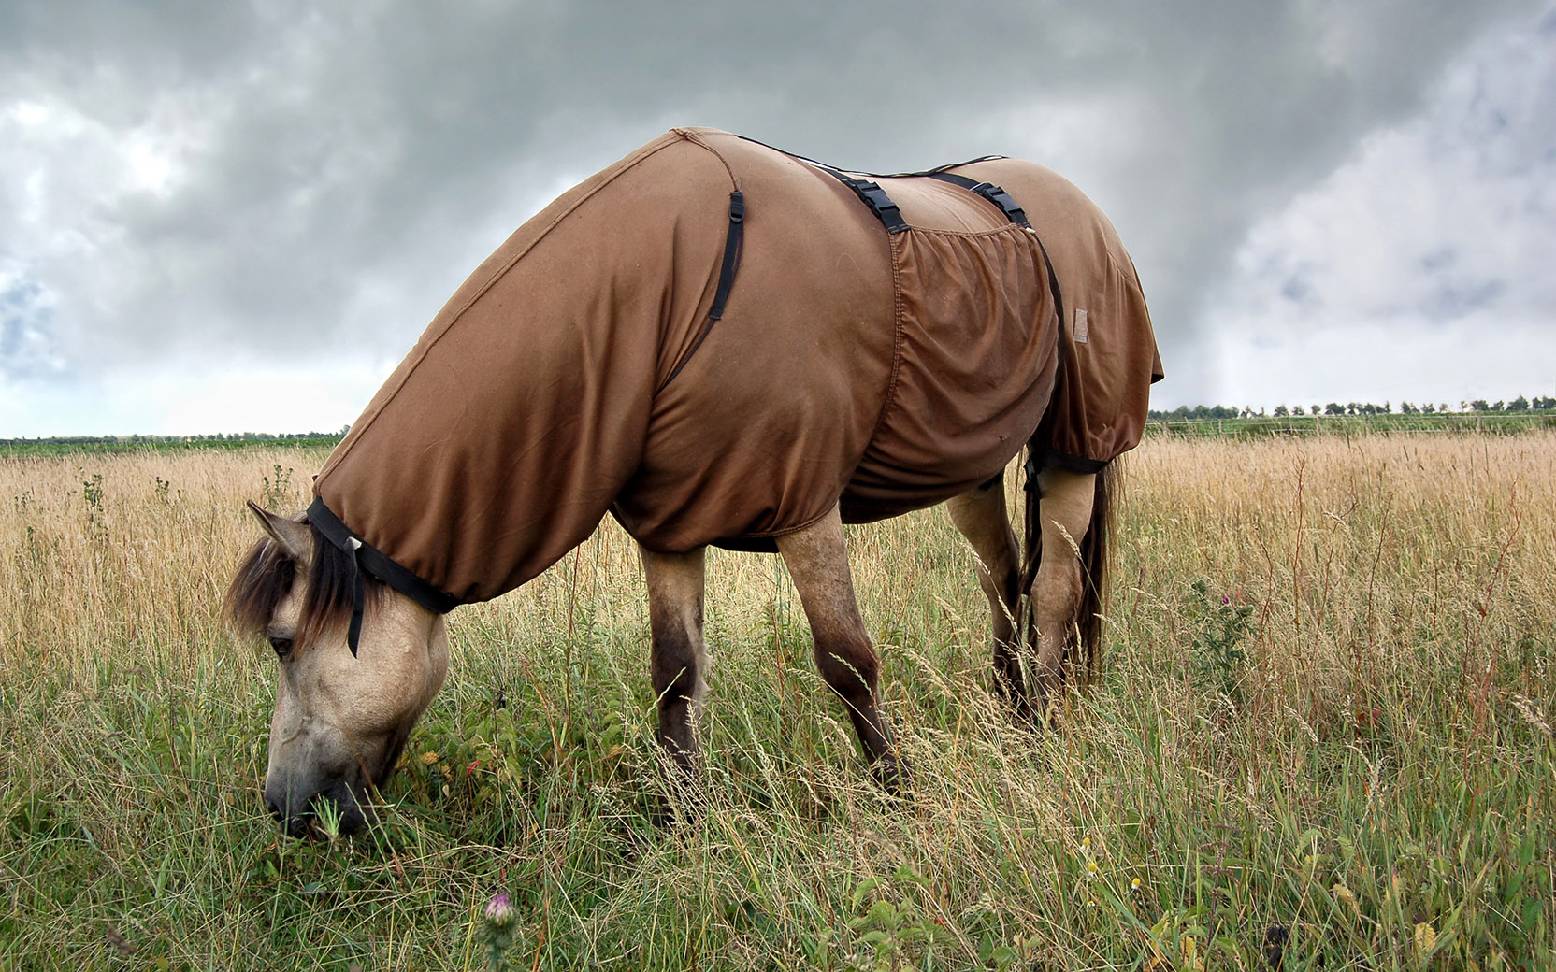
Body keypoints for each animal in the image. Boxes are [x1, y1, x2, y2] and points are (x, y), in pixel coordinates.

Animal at [226, 128, 1162, 837]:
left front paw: (897, 795)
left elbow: (847, 660)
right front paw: (682, 821)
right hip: (970, 464)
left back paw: (1040, 726)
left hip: (1076, 451)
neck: (678, 283)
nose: (283, 809)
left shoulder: (803, 504)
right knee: (1004, 575)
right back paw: (1007, 707)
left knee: (1056, 586)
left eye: (280, 640)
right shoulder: (673, 522)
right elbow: (675, 673)